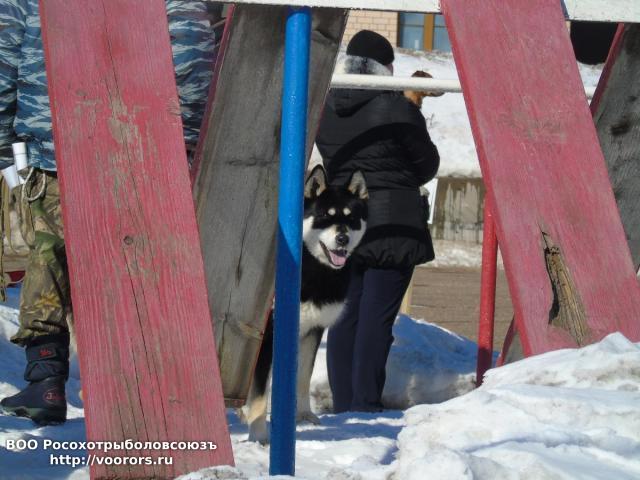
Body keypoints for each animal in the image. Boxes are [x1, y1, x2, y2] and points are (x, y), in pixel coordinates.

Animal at [244, 165, 368, 443]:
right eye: (323, 216)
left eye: (352, 218)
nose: (342, 239)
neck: (313, 269)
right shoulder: (267, 335)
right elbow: (260, 391)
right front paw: (258, 434)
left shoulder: (314, 329)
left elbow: (303, 377)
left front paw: (303, 415)